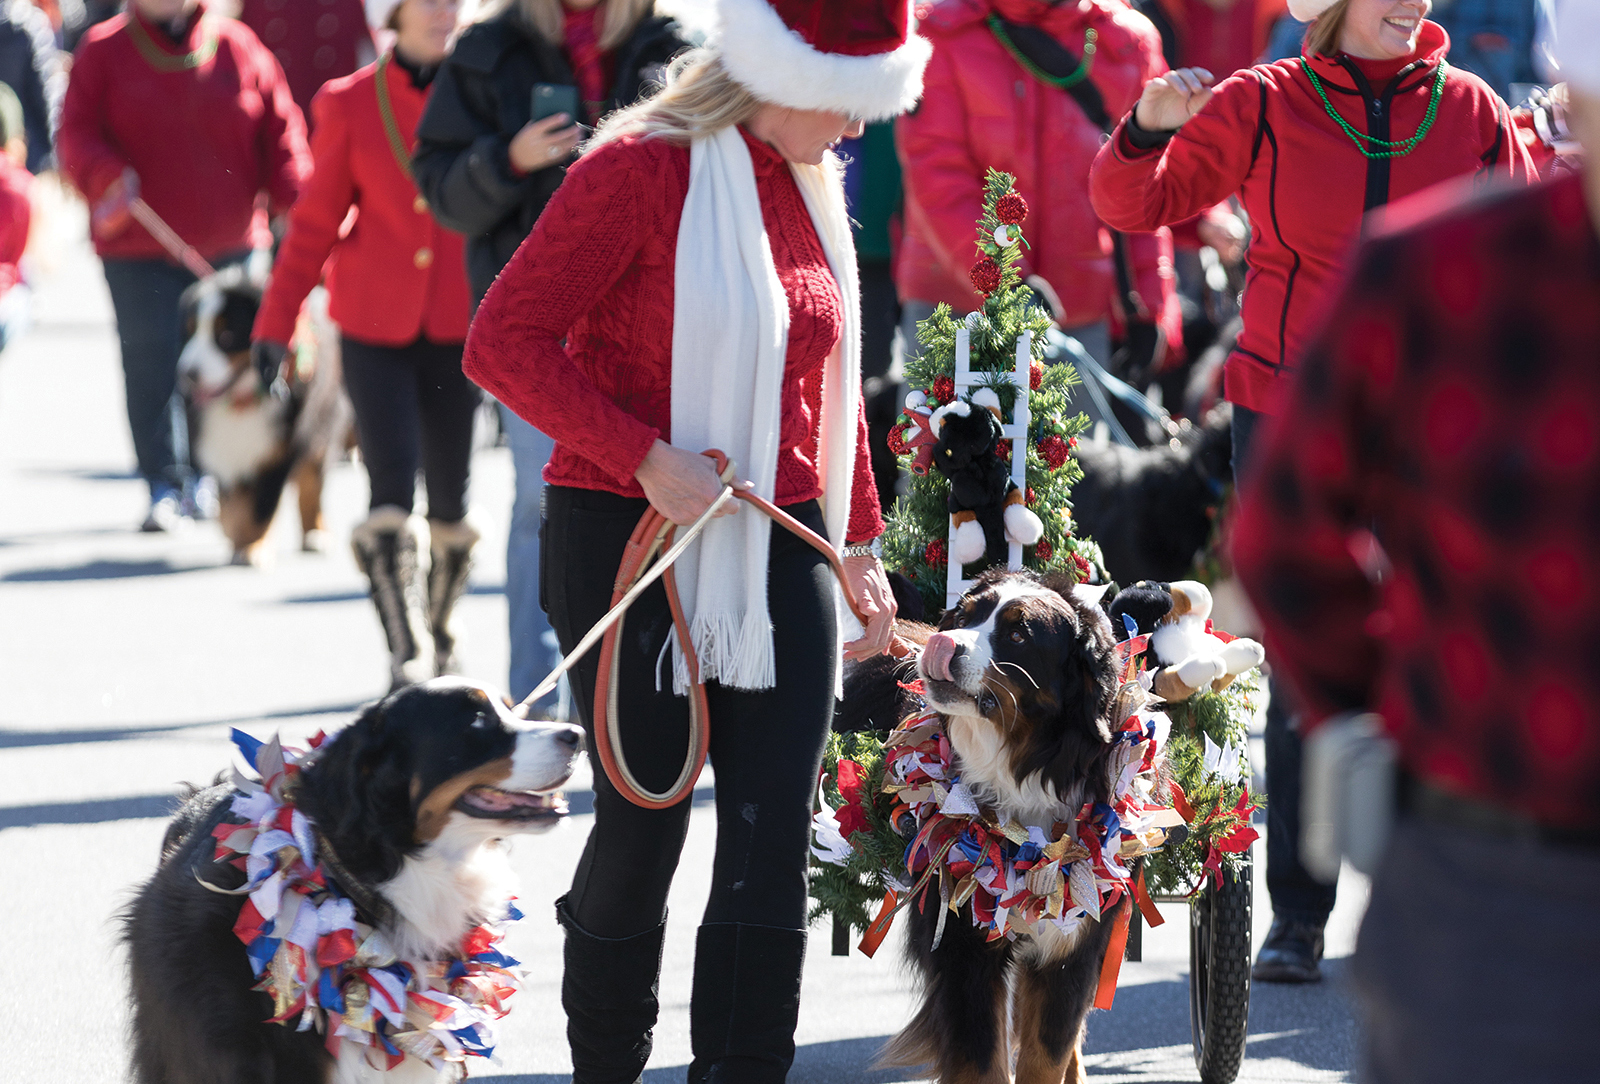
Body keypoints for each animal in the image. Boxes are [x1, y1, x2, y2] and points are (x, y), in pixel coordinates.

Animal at [180, 267, 352, 565]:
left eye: (226, 335)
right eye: (190, 332)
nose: (187, 374)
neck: (244, 400)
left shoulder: (279, 452)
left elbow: (262, 507)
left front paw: (252, 547)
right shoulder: (225, 449)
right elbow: (229, 507)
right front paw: (235, 536)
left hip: (322, 425)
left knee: (312, 485)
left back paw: (315, 533)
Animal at [851, 569, 1139, 1084]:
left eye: (1020, 635)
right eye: (965, 616)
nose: (942, 643)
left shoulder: (1072, 946)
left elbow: (1046, 1053)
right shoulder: (963, 946)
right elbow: (982, 1061)